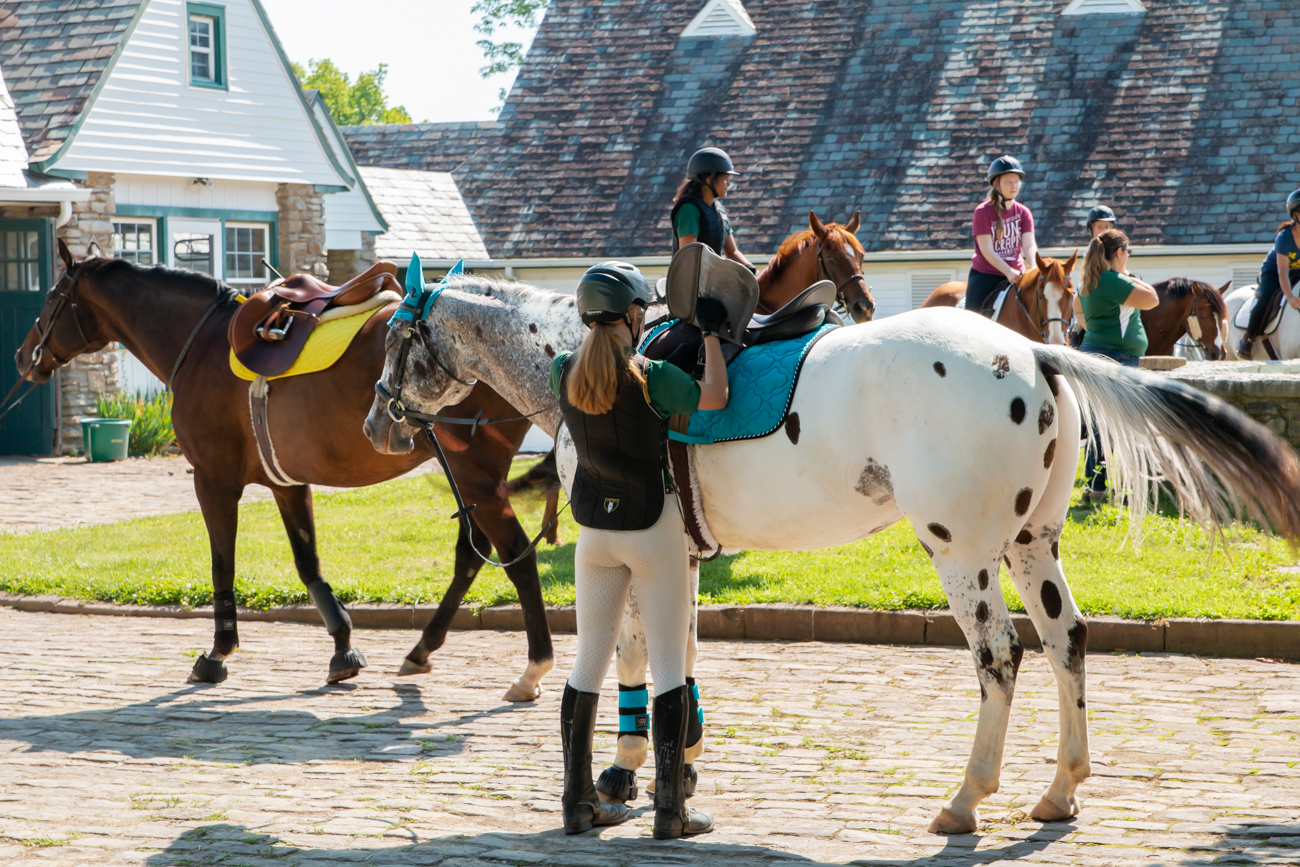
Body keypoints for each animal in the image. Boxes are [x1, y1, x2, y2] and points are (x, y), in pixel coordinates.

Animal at [16, 240, 555, 698]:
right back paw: (423, 647)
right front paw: (342, 647)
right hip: (465, 475)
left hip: (473, 472)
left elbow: (223, 563)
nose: (24, 355)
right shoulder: (288, 483)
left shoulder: (213, 480)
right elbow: (307, 563)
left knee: (515, 556)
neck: (203, 342)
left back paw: (533, 668)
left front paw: (218, 651)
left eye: (51, 298)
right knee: (472, 555)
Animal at [363, 274, 1300, 834]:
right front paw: (682, 764)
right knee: (1068, 640)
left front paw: (625, 774)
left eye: (394, 342)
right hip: (1031, 544)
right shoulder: (683, 557)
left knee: (1000, 655)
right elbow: (682, 659)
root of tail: (1032, 348)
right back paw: (1061, 786)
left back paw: (967, 796)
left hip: (965, 552)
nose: (376, 421)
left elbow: (631, 659)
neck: (593, 354)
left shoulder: (631, 551)